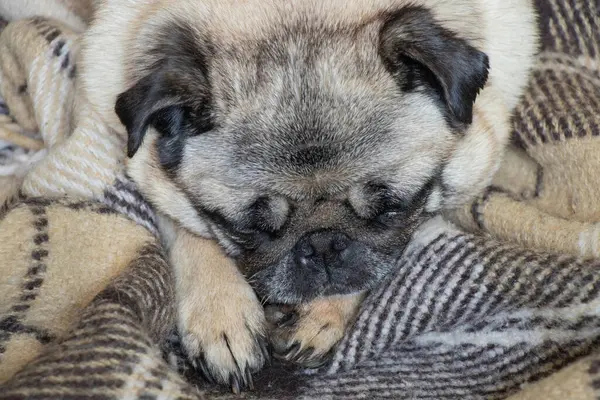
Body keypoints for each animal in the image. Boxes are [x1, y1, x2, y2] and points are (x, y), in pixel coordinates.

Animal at [77, 0, 536, 394]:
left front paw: (325, 314)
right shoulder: (145, 167)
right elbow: (191, 230)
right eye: (251, 229)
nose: (322, 244)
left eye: (391, 209)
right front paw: (222, 314)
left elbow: (373, 264)